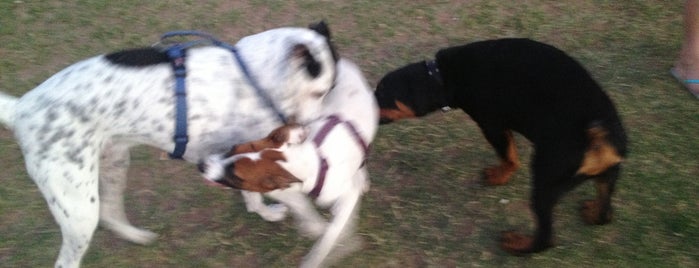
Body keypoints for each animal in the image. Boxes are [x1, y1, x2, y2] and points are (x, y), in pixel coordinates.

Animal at [0, 22, 340, 268]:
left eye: (329, 90)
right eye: (320, 91)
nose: (309, 129)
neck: (253, 77)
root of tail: (20, 108)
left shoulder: (241, 157)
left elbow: (253, 197)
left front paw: (268, 214)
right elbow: (299, 202)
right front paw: (321, 232)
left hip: (113, 165)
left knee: (110, 211)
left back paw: (137, 236)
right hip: (78, 207)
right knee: (67, 258)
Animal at [200, 59, 380, 268]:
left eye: (235, 175)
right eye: (233, 147)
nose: (201, 164)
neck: (311, 158)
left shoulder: (346, 196)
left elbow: (330, 235)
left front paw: (319, 254)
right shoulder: (281, 187)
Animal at [378, 38, 628, 255]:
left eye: (380, 97)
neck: (441, 75)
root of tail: (598, 134)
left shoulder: (492, 125)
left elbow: (508, 155)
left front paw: (499, 176)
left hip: (545, 180)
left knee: (545, 238)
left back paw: (516, 244)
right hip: (609, 173)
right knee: (605, 211)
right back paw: (593, 212)